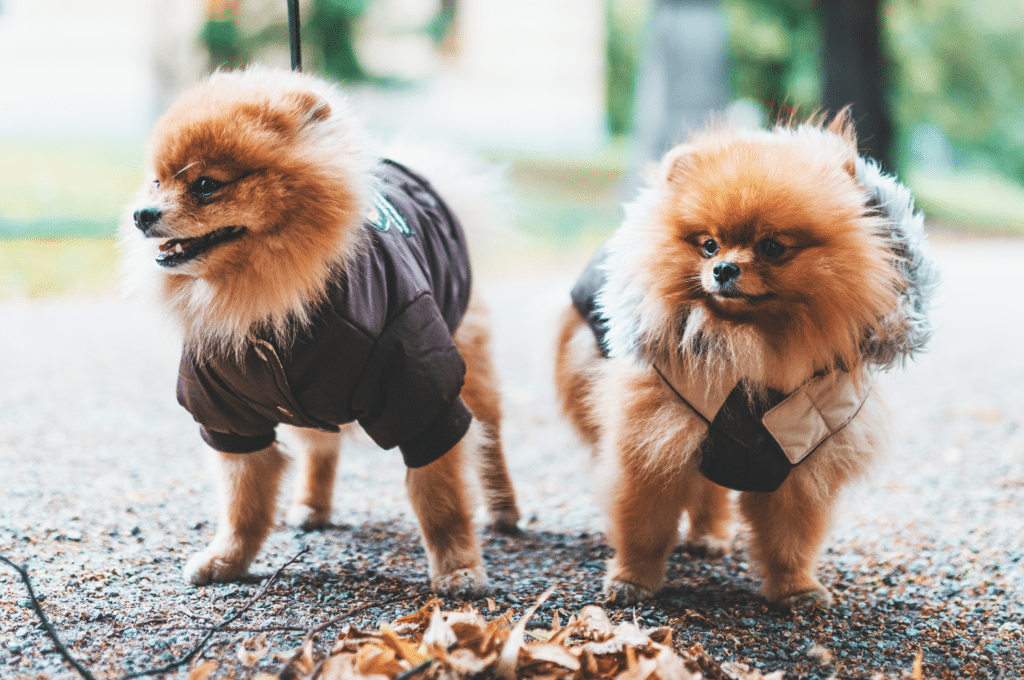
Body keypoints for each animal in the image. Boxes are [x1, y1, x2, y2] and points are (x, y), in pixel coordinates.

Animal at [120, 67, 520, 593]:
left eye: (206, 185)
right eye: (157, 181)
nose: (142, 214)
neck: (266, 301)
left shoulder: (420, 393)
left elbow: (440, 495)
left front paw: (458, 568)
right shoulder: (229, 415)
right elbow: (242, 500)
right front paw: (228, 559)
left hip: (467, 361)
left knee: (490, 437)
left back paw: (504, 509)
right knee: (321, 446)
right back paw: (312, 506)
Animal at [561, 114, 937, 606]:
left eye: (772, 247)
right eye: (708, 245)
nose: (724, 269)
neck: (751, 346)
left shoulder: (800, 459)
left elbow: (791, 537)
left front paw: (796, 588)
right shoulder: (654, 438)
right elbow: (644, 524)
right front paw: (633, 579)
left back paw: (709, 537)